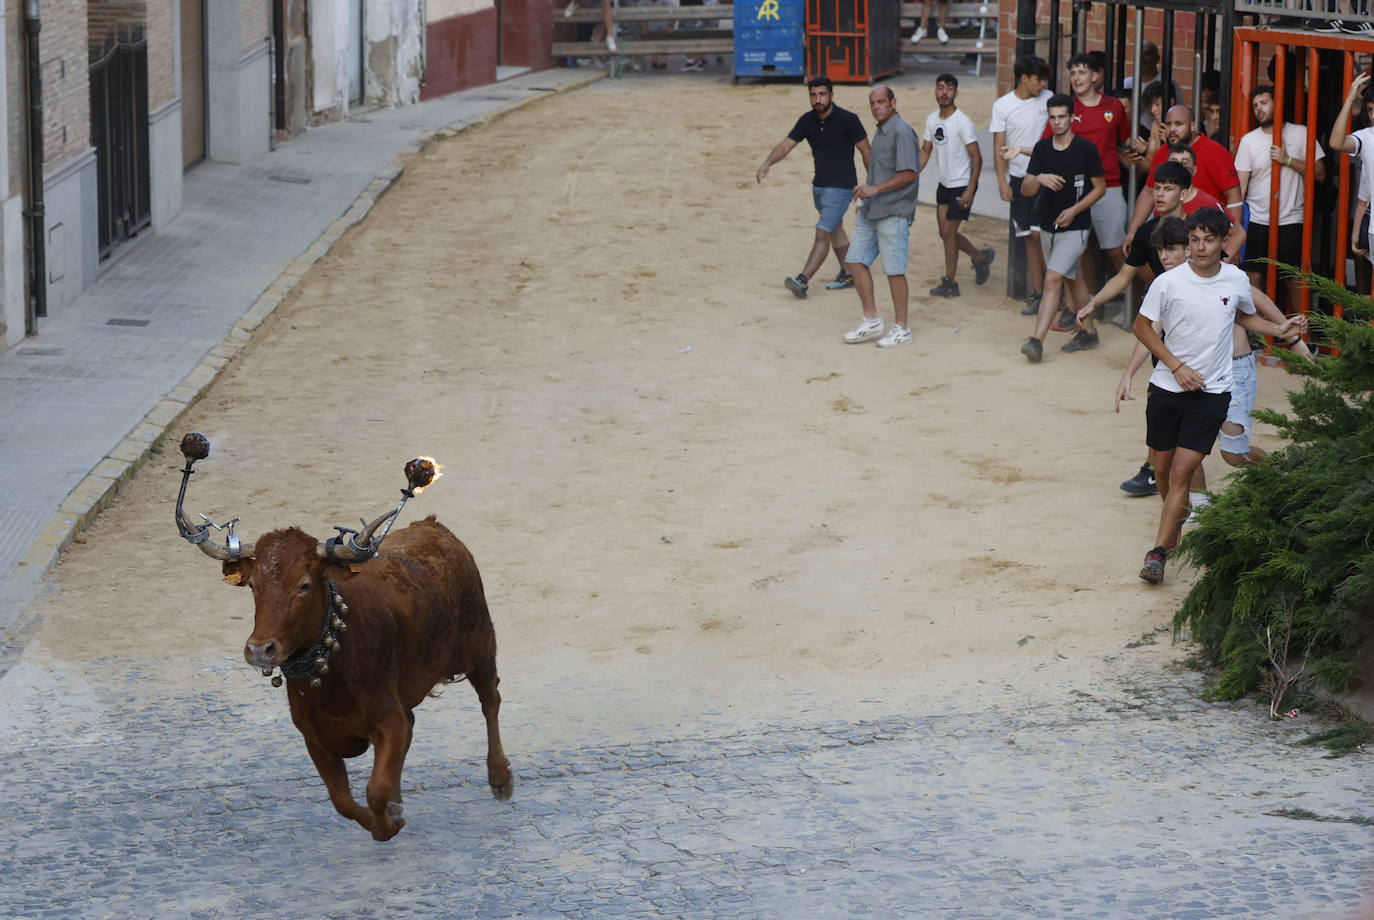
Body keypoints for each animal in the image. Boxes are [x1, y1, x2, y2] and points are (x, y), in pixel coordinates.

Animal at [173, 433, 511, 845]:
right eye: (253, 585)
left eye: (304, 585)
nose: (259, 649)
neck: (331, 674)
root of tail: (436, 529)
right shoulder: (313, 735)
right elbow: (343, 800)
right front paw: (389, 816)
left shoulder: (388, 718)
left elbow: (375, 790)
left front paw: (391, 818)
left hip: (481, 644)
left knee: (490, 700)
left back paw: (500, 779)